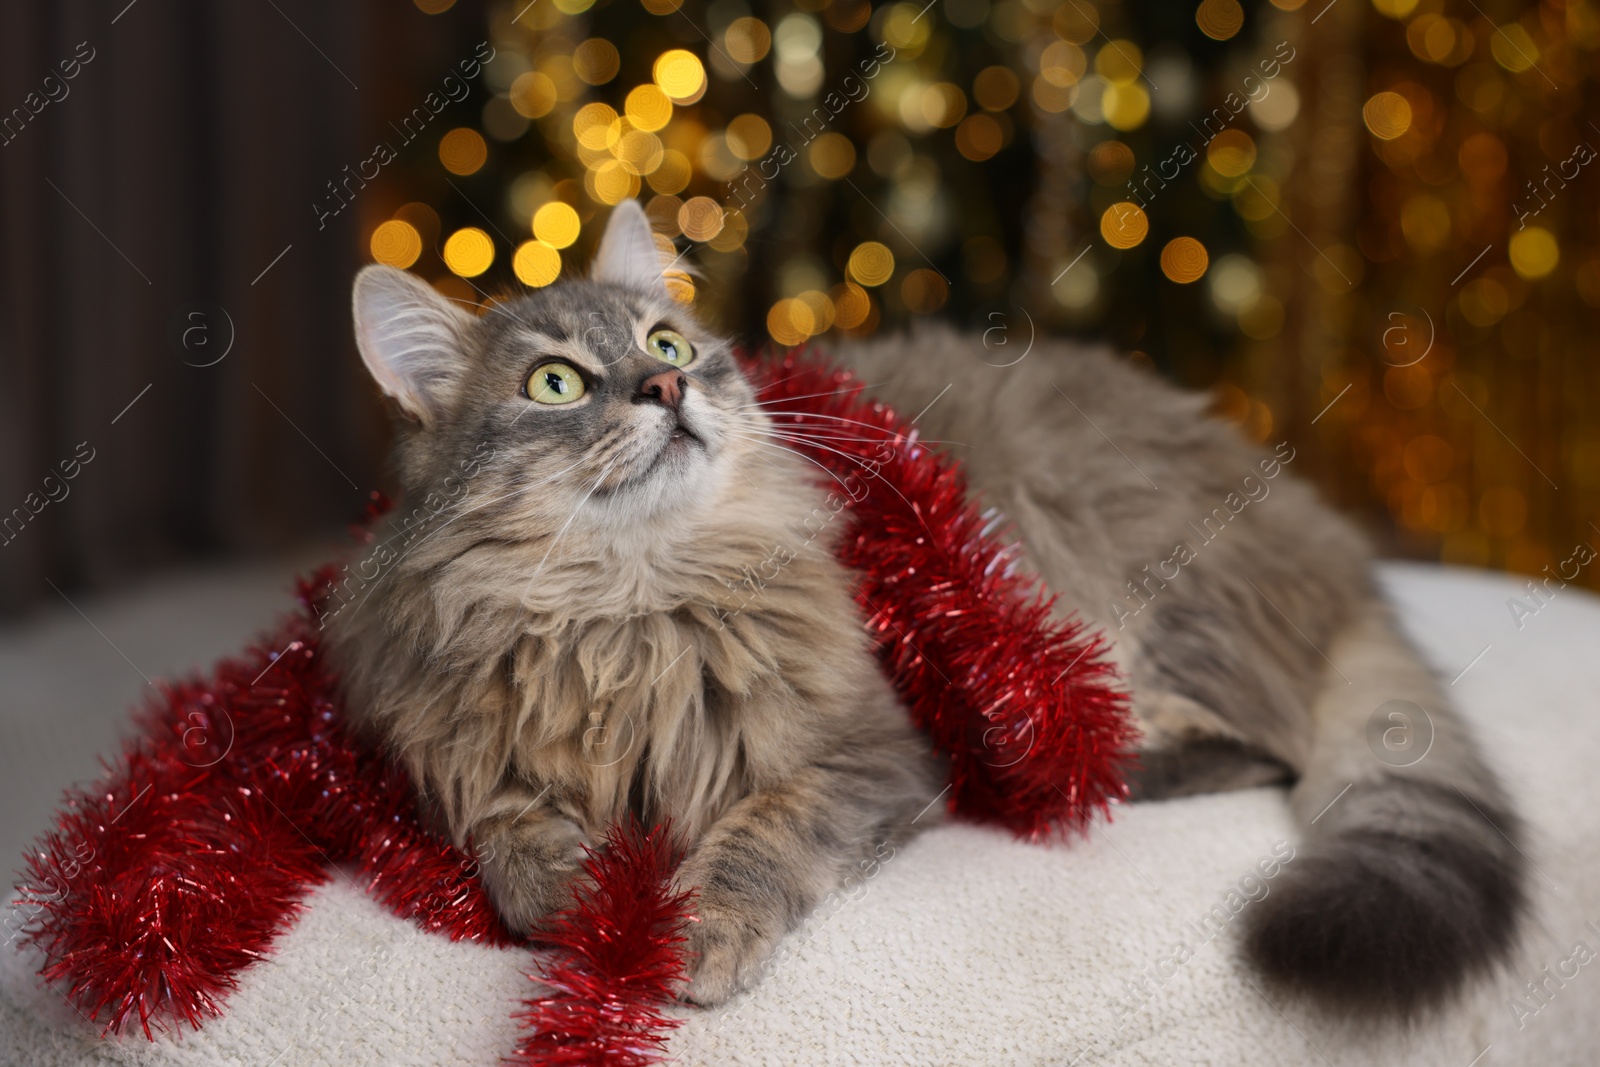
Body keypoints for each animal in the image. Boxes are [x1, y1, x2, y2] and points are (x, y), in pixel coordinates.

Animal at [324, 198, 1523, 1017]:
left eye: (667, 345)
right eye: (556, 385)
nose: (667, 388)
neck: (629, 615)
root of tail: (1324, 535)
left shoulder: (879, 751)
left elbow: (766, 830)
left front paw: (693, 931)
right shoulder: (439, 744)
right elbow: (502, 828)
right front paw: (577, 891)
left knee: (1235, 748)